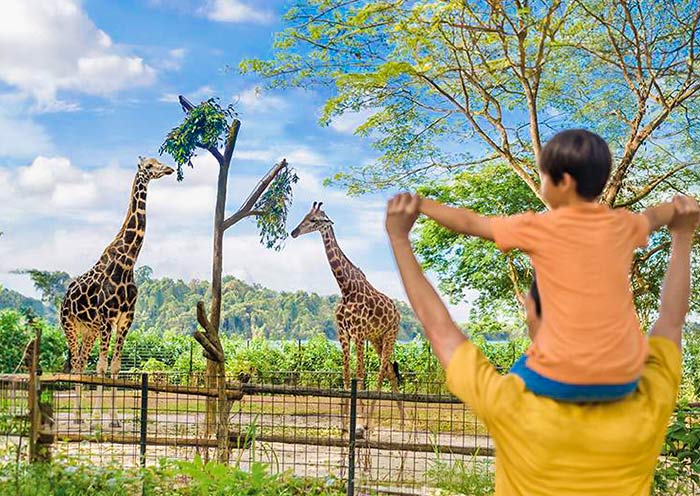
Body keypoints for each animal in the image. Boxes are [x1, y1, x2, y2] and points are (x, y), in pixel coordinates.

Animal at [60, 157, 173, 424]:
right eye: (149, 166)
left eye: (159, 162)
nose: (169, 169)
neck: (127, 263)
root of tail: (65, 297)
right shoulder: (107, 318)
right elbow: (101, 366)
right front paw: (98, 417)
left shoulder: (125, 319)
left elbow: (115, 366)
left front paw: (113, 419)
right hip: (70, 325)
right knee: (77, 363)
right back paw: (78, 417)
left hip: (88, 330)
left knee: (82, 361)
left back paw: (80, 415)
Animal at [291, 202, 405, 429]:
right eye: (305, 216)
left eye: (314, 220)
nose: (294, 232)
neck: (346, 288)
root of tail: (397, 313)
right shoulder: (343, 333)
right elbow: (345, 374)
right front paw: (344, 424)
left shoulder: (358, 333)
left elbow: (359, 374)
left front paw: (359, 420)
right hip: (377, 338)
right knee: (389, 371)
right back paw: (405, 422)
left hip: (390, 335)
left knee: (381, 372)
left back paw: (371, 422)